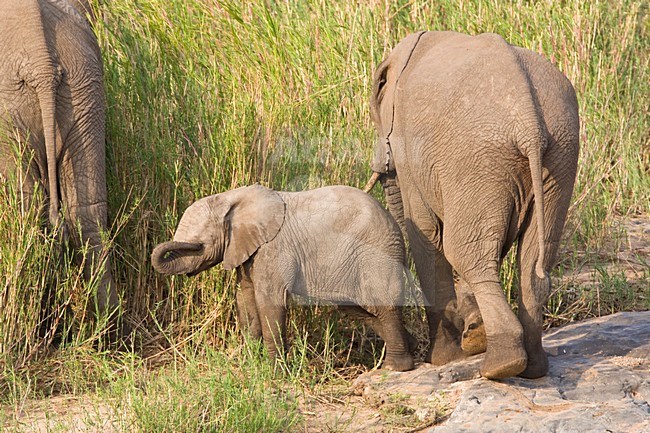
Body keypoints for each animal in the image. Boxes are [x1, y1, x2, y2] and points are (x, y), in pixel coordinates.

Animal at [152, 184, 412, 370]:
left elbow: (269, 300)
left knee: (383, 305)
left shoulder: (274, 249)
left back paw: (395, 367)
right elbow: (245, 299)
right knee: (357, 309)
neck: (230, 198)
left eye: (198, 245)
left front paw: (274, 371)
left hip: (378, 255)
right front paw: (252, 364)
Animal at [362, 31, 580, 378]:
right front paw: (470, 332)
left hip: (478, 158)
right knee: (534, 259)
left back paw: (500, 366)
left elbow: (425, 232)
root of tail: (529, 124)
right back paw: (532, 368)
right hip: (558, 156)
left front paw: (443, 359)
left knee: (464, 251)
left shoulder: (410, 148)